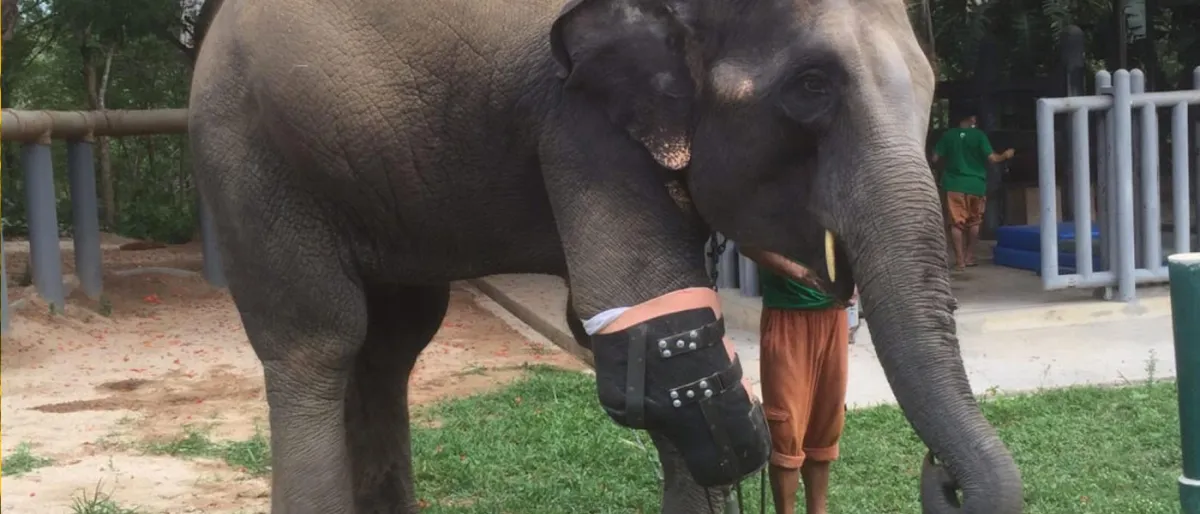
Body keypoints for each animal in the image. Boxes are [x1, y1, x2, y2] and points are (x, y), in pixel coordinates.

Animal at [187, 0, 1024, 512]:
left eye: (931, 86)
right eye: (811, 85)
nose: (940, 474)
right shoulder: (575, 115)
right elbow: (656, 332)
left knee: (390, 347)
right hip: (251, 157)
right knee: (318, 346)